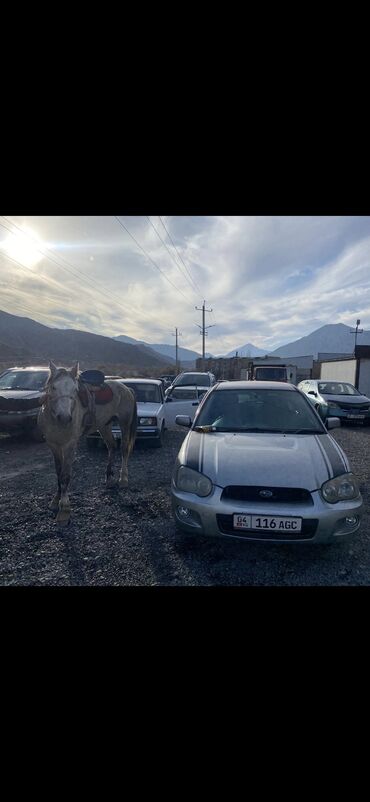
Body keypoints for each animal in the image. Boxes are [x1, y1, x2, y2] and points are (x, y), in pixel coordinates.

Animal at [38, 362, 137, 524]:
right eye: (53, 387)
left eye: (75, 389)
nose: (65, 418)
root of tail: (127, 388)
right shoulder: (54, 446)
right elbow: (58, 473)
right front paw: (55, 500)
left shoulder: (70, 445)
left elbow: (65, 475)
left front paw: (64, 509)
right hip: (104, 426)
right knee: (112, 446)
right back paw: (109, 479)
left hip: (125, 423)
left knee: (124, 449)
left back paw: (123, 479)